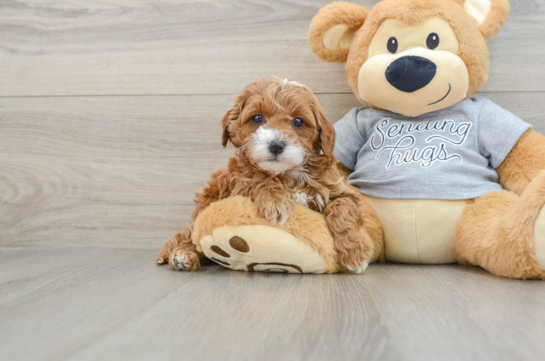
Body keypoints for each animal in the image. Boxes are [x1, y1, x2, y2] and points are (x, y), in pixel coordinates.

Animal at [156, 76, 370, 272]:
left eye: (298, 122)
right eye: (257, 118)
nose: (276, 145)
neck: (287, 174)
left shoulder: (340, 190)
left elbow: (342, 208)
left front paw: (355, 253)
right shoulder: (239, 183)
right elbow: (257, 179)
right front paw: (276, 201)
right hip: (207, 201)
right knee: (189, 232)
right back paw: (184, 254)